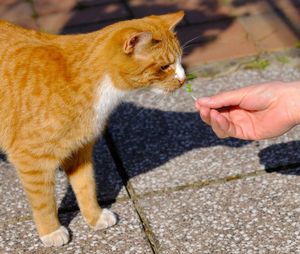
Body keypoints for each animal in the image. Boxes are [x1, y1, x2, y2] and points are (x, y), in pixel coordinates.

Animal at [0, 11, 186, 246]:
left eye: (180, 60)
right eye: (164, 67)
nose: (183, 79)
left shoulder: (80, 152)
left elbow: (86, 187)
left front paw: (94, 217)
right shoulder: (31, 160)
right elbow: (44, 202)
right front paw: (51, 231)